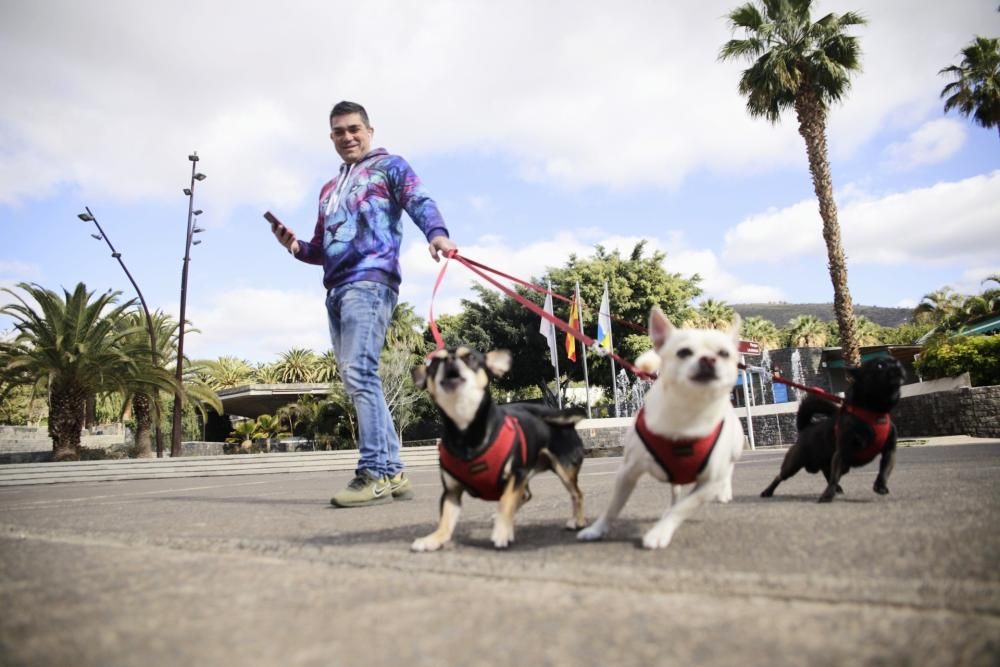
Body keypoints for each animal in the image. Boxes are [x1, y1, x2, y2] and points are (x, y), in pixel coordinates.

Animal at [410, 348, 588, 552]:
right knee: (526, 495)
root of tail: (562, 417)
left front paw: (502, 533)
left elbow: (505, 502)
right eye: (435, 362)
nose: (450, 360)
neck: (466, 431)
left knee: (576, 493)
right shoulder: (451, 492)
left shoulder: (516, 474)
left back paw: (578, 521)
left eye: (469, 357)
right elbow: (445, 520)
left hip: (564, 468)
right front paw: (434, 538)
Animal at [756, 358, 908, 504]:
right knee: (780, 476)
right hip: (793, 464)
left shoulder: (889, 452)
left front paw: (880, 485)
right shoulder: (842, 453)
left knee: (826, 472)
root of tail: (805, 428)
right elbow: (834, 477)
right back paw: (767, 491)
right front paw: (827, 495)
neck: (874, 414)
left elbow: (884, 470)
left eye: (896, 361)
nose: (898, 366)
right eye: (879, 366)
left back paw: (838, 488)